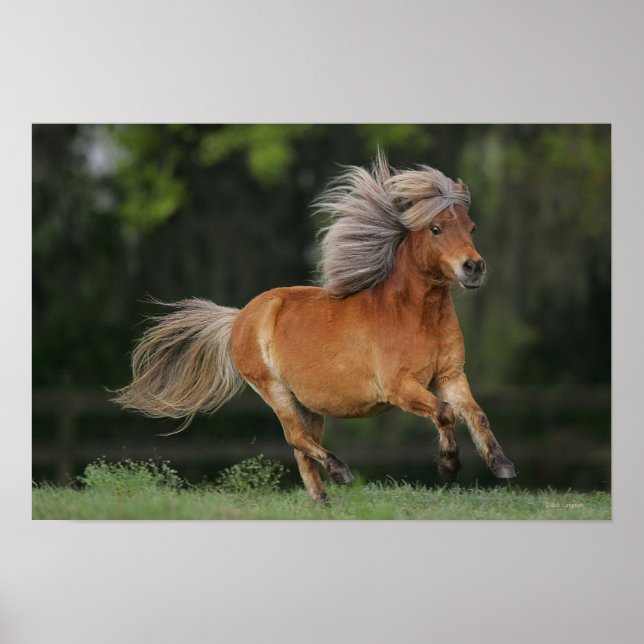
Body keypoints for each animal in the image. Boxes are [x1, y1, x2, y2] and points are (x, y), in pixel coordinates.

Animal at [114, 153, 516, 502]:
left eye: (471, 226)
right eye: (435, 228)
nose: (473, 267)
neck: (414, 315)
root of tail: (239, 317)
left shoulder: (450, 376)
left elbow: (476, 414)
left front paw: (502, 466)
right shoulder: (400, 387)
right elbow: (445, 413)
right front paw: (449, 466)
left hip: (308, 403)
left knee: (301, 448)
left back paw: (322, 500)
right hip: (274, 389)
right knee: (295, 438)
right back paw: (340, 472)